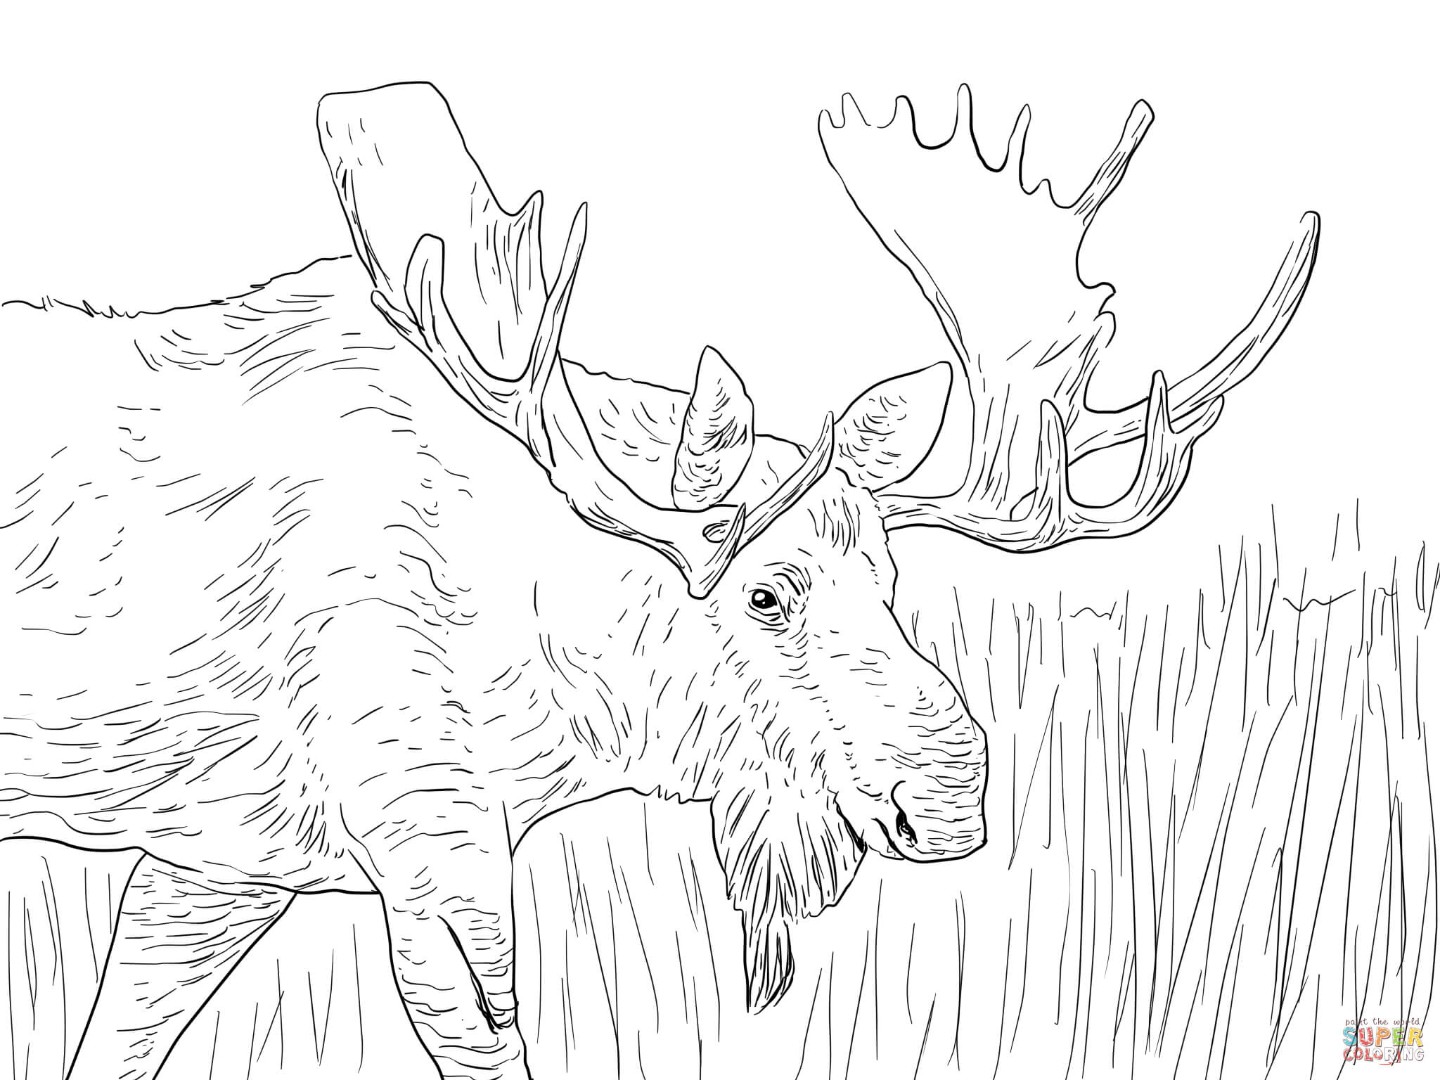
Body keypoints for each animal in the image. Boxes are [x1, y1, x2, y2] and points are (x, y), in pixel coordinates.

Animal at [0, 81, 1317, 1079]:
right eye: (765, 593)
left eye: (890, 576)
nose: (948, 794)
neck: (556, 700)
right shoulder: (432, 858)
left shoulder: (219, 860)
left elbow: (114, 1040)